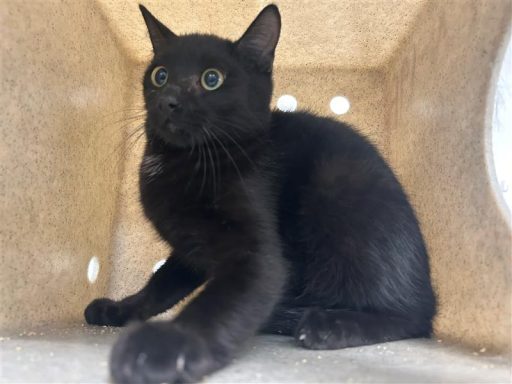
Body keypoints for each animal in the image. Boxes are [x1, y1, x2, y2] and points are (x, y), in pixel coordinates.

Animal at [85, 3, 436, 384]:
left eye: (212, 79)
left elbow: (218, 302)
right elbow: (161, 284)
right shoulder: (190, 250)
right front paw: (120, 308)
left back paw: (327, 324)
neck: (186, 160)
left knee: (410, 317)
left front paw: (166, 346)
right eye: (159, 76)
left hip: (338, 190)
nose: (168, 100)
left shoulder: (257, 252)